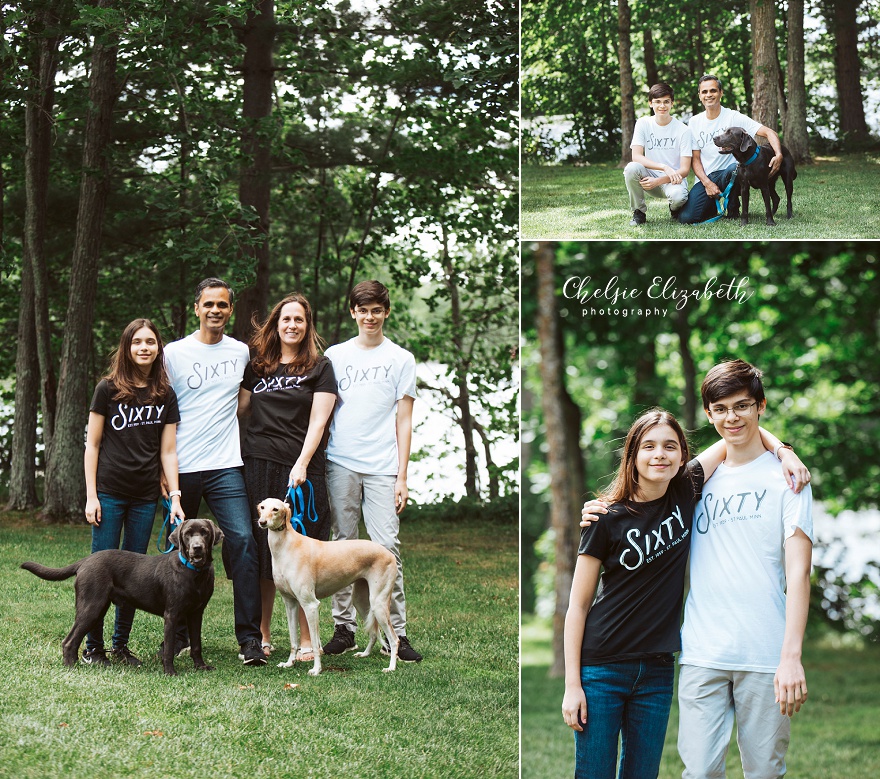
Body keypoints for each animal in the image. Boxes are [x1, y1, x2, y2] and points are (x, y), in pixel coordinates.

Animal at [20, 516, 222, 676]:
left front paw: (201, 666)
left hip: (99, 608)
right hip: (91, 607)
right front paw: (170, 672)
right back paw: (71, 667)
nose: (197, 548)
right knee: (69, 640)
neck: (194, 573)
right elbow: (169, 649)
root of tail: (85, 560)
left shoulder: (196, 613)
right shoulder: (171, 615)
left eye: (204, 532)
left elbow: (196, 644)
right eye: (187, 534)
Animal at [256, 500, 398, 676]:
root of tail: (390, 554)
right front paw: (289, 663)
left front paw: (316, 669)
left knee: (394, 639)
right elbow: (293, 640)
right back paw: (365, 654)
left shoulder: (310, 605)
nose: (262, 522)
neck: (286, 546)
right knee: (373, 632)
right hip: (362, 602)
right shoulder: (290, 604)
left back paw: (391, 667)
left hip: (379, 604)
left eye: (275, 509)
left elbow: (315, 644)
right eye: (262, 507)